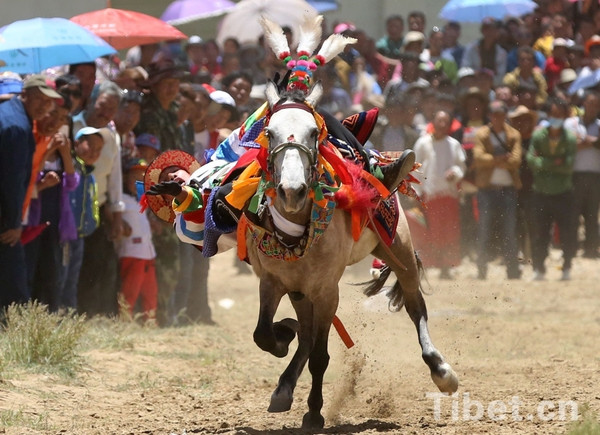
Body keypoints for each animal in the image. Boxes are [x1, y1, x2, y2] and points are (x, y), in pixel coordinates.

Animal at [244, 81, 460, 430]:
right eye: (270, 133)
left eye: (313, 132)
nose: (292, 191)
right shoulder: (273, 282)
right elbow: (264, 334)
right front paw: (284, 333)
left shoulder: (327, 290)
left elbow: (320, 357)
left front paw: (314, 412)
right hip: (299, 291)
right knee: (305, 335)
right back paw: (284, 386)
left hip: (398, 250)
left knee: (416, 307)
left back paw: (441, 370)